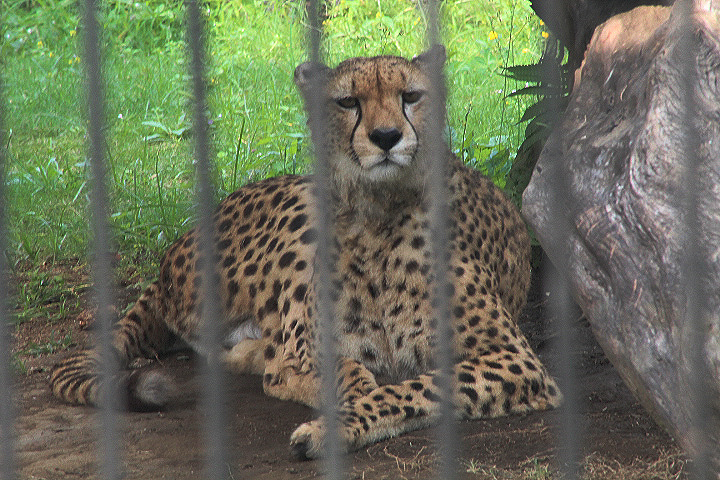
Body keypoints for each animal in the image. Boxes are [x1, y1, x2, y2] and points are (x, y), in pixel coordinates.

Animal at [50, 45, 561, 459]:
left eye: (411, 96)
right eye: (348, 102)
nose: (386, 137)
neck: (377, 217)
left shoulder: (515, 358)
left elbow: (418, 387)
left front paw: (341, 421)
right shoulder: (312, 342)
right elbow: (341, 370)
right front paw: (340, 399)